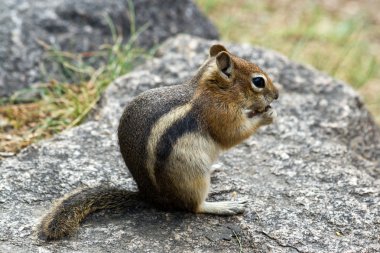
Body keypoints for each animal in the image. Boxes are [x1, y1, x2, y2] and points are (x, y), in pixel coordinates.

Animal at [38, 44, 280, 240]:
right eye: (258, 81)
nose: (277, 95)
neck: (212, 89)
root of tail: (149, 196)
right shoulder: (218, 113)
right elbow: (233, 134)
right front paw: (267, 115)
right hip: (193, 175)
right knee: (194, 207)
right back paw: (224, 206)